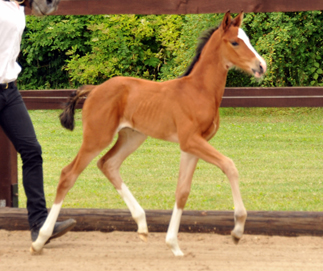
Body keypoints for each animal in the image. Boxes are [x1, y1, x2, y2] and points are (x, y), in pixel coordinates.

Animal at [31, 11, 268, 258]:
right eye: (235, 42)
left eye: (247, 39)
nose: (261, 66)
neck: (199, 91)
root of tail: (94, 89)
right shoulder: (190, 140)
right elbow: (229, 165)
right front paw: (237, 229)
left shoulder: (192, 146)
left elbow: (182, 191)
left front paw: (174, 245)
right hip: (97, 137)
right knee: (68, 174)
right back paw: (41, 239)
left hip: (132, 137)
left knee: (108, 164)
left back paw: (142, 224)